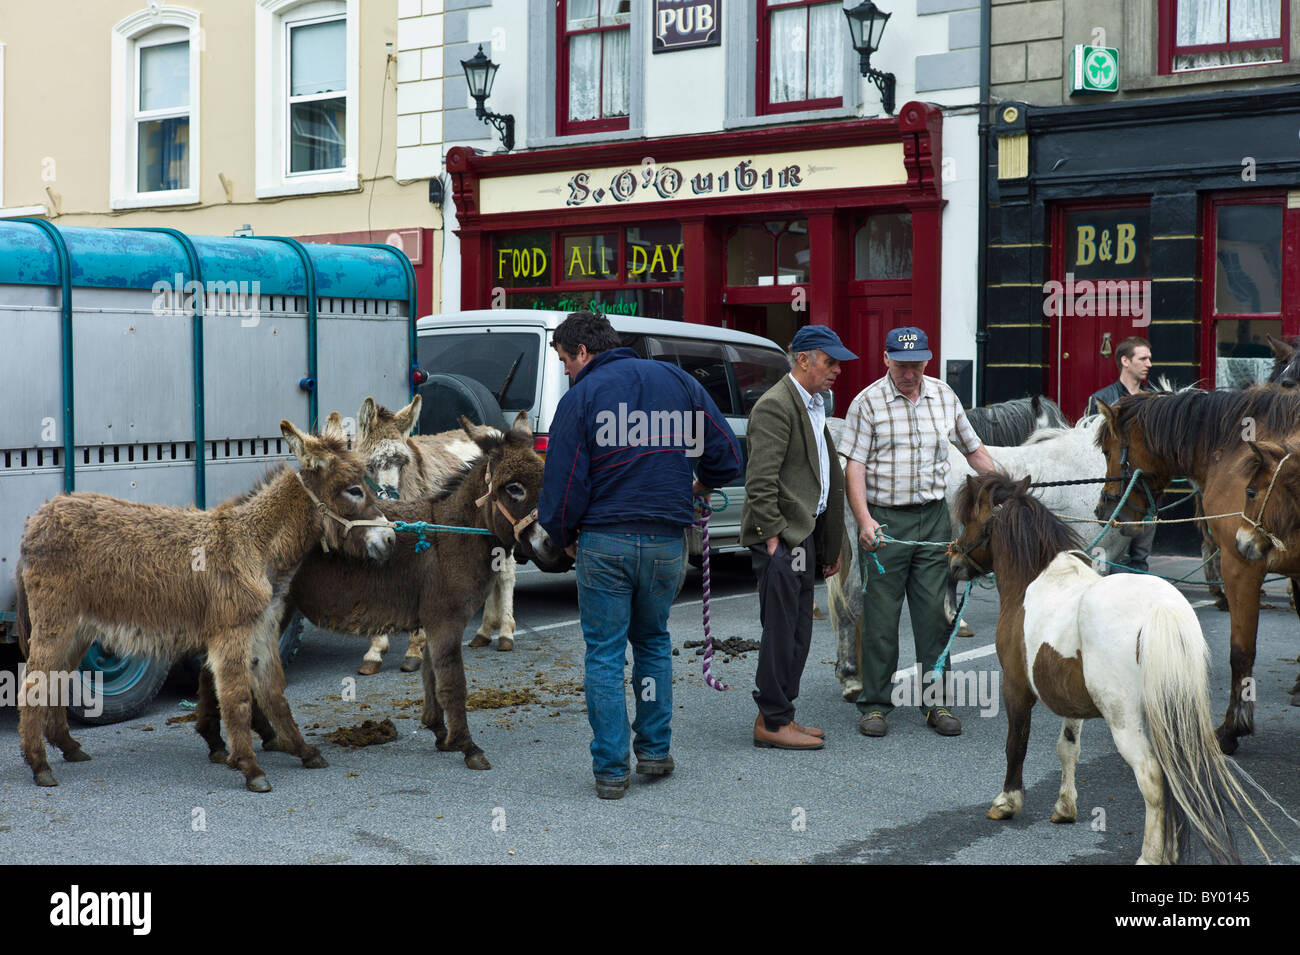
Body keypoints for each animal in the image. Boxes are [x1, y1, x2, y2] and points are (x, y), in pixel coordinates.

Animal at [193, 415, 569, 774]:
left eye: (546, 479)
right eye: (514, 488)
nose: (555, 544)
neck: (453, 535)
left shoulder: (433, 621)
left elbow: (431, 676)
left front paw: (439, 732)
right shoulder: (446, 621)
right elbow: (452, 682)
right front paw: (467, 746)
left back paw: (238, 739)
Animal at [946, 472, 1268, 867]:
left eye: (970, 518)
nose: (953, 561)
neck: (1033, 578)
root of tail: (1160, 609)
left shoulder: (1016, 688)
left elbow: (1016, 744)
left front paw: (1007, 802)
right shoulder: (1071, 701)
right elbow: (1067, 748)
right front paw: (1065, 807)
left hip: (1126, 721)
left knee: (1151, 776)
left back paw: (1150, 856)